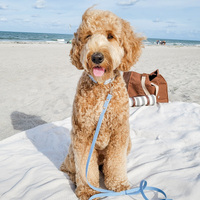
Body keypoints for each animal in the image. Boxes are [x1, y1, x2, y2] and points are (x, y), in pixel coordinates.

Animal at [60, 6, 145, 200]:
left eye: (110, 36)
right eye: (88, 36)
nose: (97, 57)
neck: (102, 88)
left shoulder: (120, 133)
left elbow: (116, 163)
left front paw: (118, 185)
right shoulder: (82, 135)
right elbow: (85, 168)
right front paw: (87, 190)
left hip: (128, 142)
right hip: (72, 149)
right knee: (69, 167)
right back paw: (74, 178)